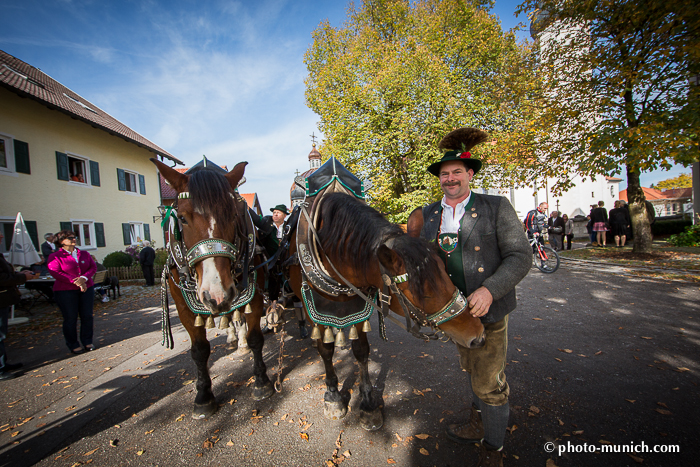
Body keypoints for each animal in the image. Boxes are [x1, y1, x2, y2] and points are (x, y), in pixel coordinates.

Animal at [153, 159, 274, 418]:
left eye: (234, 214)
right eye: (182, 218)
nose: (216, 294)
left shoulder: (254, 297)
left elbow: (255, 337)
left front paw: (261, 382)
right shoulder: (183, 307)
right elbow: (199, 350)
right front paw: (203, 397)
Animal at [288, 193, 484, 432]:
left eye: (444, 271)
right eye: (423, 294)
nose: (477, 335)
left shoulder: (360, 307)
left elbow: (361, 351)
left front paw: (368, 403)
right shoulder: (314, 311)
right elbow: (325, 351)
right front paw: (333, 396)